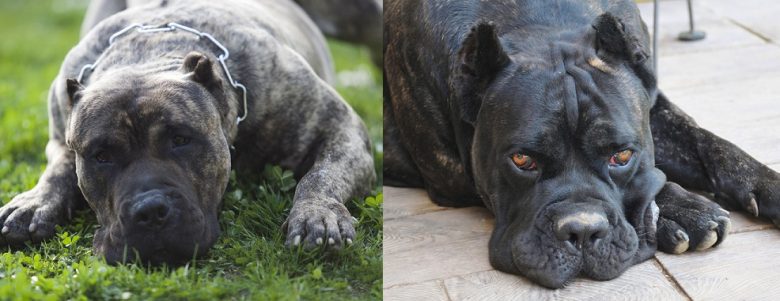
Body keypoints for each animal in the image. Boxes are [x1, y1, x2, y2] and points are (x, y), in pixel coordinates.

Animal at [386, 0, 780, 288]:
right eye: (522, 160)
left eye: (622, 156)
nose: (582, 229)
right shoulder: (451, 175)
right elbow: (659, 179)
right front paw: (682, 211)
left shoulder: (655, 107)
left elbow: (706, 141)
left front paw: (767, 185)